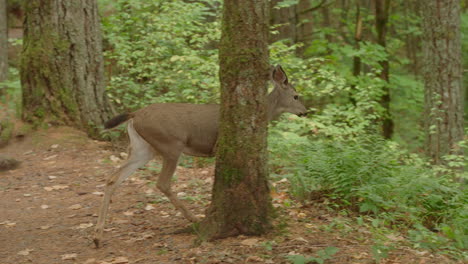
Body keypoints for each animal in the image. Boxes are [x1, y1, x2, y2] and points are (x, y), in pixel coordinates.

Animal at [93, 65, 308, 248]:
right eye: (296, 96)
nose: (305, 112)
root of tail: (135, 114)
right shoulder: (218, 145)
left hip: (143, 148)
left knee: (113, 178)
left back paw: (97, 237)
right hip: (171, 144)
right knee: (162, 183)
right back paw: (194, 219)